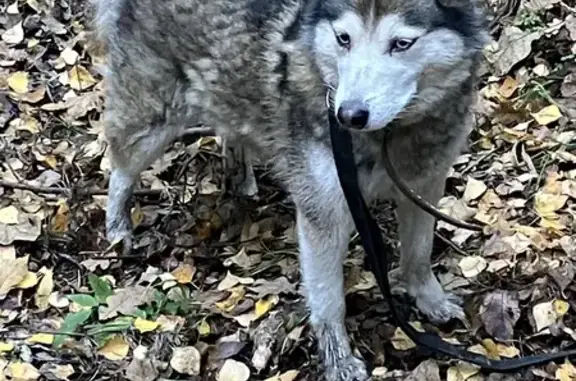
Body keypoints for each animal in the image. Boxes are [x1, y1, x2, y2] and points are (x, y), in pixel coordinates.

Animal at [93, 0, 486, 378]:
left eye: (402, 44)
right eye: (344, 39)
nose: (347, 115)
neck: (390, 135)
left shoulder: (424, 185)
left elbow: (418, 254)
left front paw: (430, 300)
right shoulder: (324, 212)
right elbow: (329, 300)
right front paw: (338, 360)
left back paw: (240, 178)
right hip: (152, 125)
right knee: (120, 169)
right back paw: (117, 228)